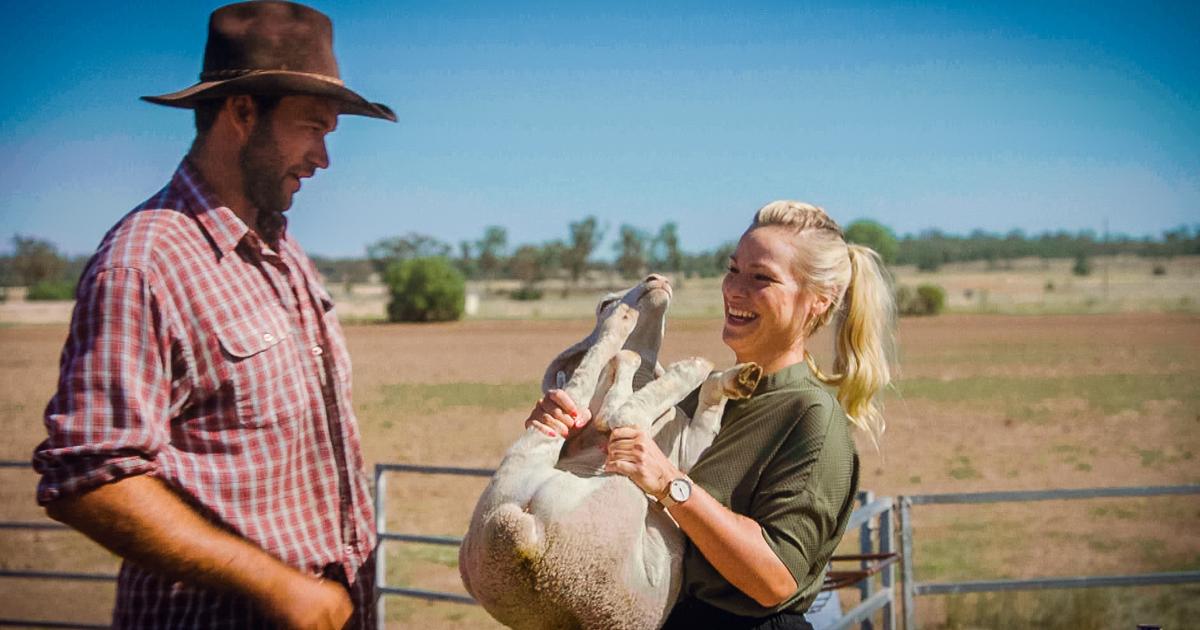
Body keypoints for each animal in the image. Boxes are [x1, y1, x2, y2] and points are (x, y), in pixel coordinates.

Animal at [458, 276, 758, 628]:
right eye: (604, 303)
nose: (656, 279)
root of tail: (515, 537)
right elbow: (614, 404)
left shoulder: (689, 450)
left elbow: (707, 414)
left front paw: (740, 378)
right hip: (596, 483)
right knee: (618, 407)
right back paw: (643, 337)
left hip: (515, 477)